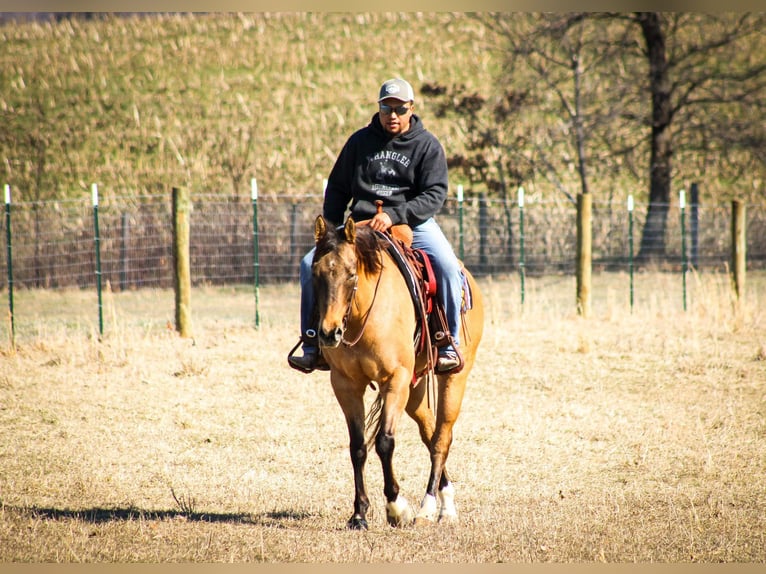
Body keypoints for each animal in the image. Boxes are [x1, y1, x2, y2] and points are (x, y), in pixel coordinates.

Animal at [308, 216, 484, 532]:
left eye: (351, 275)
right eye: (316, 273)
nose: (328, 333)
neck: (362, 316)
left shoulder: (396, 379)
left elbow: (384, 442)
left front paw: (396, 507)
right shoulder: (345, 384)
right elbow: (358, 447)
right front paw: (359, 514)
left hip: (453, 379)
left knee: (441, 439)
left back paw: (430, 509)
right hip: (415, 389)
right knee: (430, 434)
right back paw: (445, 503)